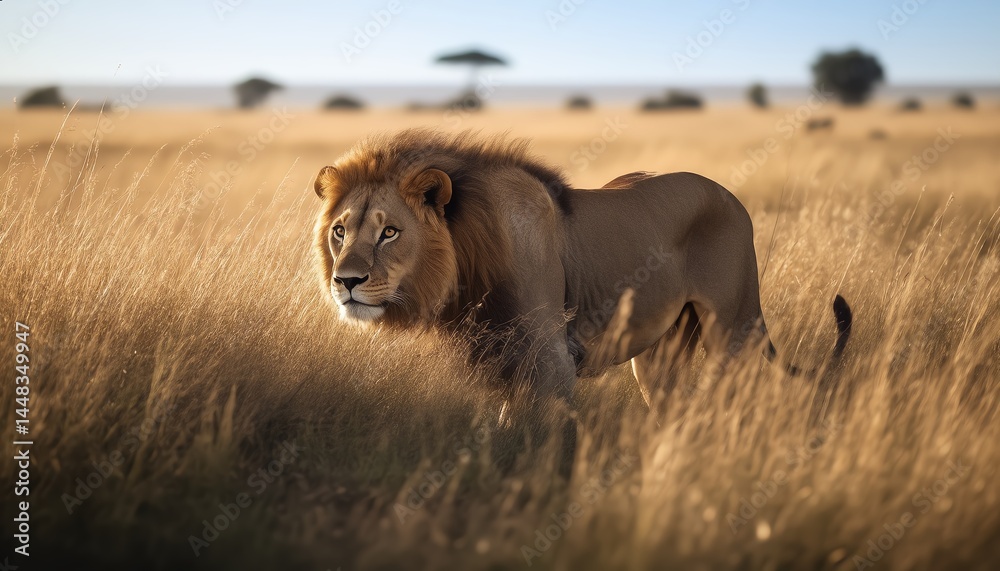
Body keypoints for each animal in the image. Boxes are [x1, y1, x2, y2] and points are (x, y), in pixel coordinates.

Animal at [313, 129, 852, 405]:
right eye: (340, 231)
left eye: (389, 232)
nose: (346, 282)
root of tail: (732, 197)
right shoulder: (499, 363)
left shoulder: (552, 362)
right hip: (661, 349)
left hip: (733, 328)